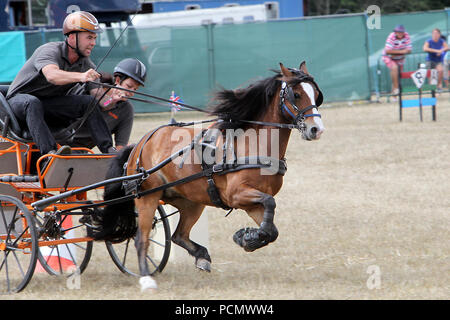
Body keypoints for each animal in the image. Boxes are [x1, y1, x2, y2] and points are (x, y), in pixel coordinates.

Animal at [94, 61, 324, 292]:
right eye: (296, 94)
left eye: (316, 95)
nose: (316, 130)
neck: (253, 145)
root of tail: (139, 145)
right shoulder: (237, 195)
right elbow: (270, 203)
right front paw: (247, 237)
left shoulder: (251, 203)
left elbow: (271, 229)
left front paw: (248, 238)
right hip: (148, 197)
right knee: (141, 238)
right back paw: (146, 278)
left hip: (191, 202)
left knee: (179, 235)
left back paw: (202, 256)